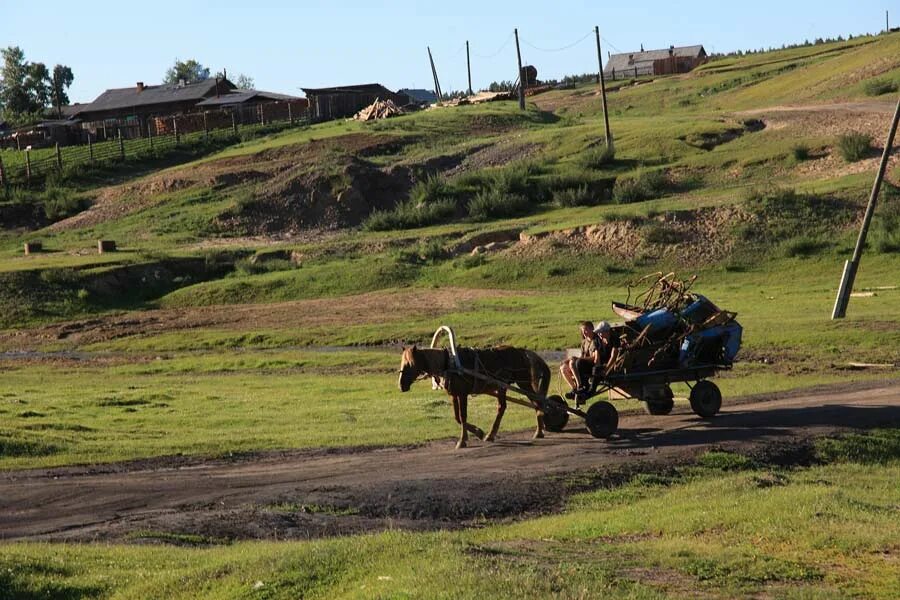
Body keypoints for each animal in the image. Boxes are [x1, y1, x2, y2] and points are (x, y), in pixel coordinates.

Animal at [400, 344, 552, 448]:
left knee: (536, 403)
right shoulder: (454, 395)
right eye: (403, 362)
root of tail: (521, 351)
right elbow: (457, 417)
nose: (401, 385)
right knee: (504, 407)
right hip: (503, 386)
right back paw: (491, 434)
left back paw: (539, 431)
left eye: (410, 364)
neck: (448, 364)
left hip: (522, 382)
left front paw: (462, 441)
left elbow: (463, 416)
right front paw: (479, 432)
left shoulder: (462, 394)